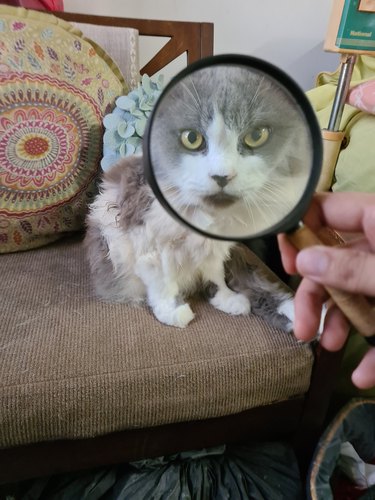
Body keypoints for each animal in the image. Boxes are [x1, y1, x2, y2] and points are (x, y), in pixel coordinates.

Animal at [84, 65, 306, 328]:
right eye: (192, 138)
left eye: (255, 136)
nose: (222, 175)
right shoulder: (150, 246)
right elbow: (164, 286)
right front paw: (174, 312)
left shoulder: (216, 250)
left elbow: (216, 277)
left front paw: (227, 299)